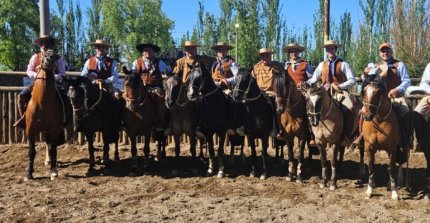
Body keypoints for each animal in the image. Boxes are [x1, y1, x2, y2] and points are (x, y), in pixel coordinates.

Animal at [23, 49, 65, 180]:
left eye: (54, 56)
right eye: (44, 55)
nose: (47, 61)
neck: (42, 102)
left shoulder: (54, 130)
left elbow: (53, 150)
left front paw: (53, 171)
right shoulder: (30, 130)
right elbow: (31, 152)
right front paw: (29, 174)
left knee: (50, 145)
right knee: (47, 144)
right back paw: (47, 160)